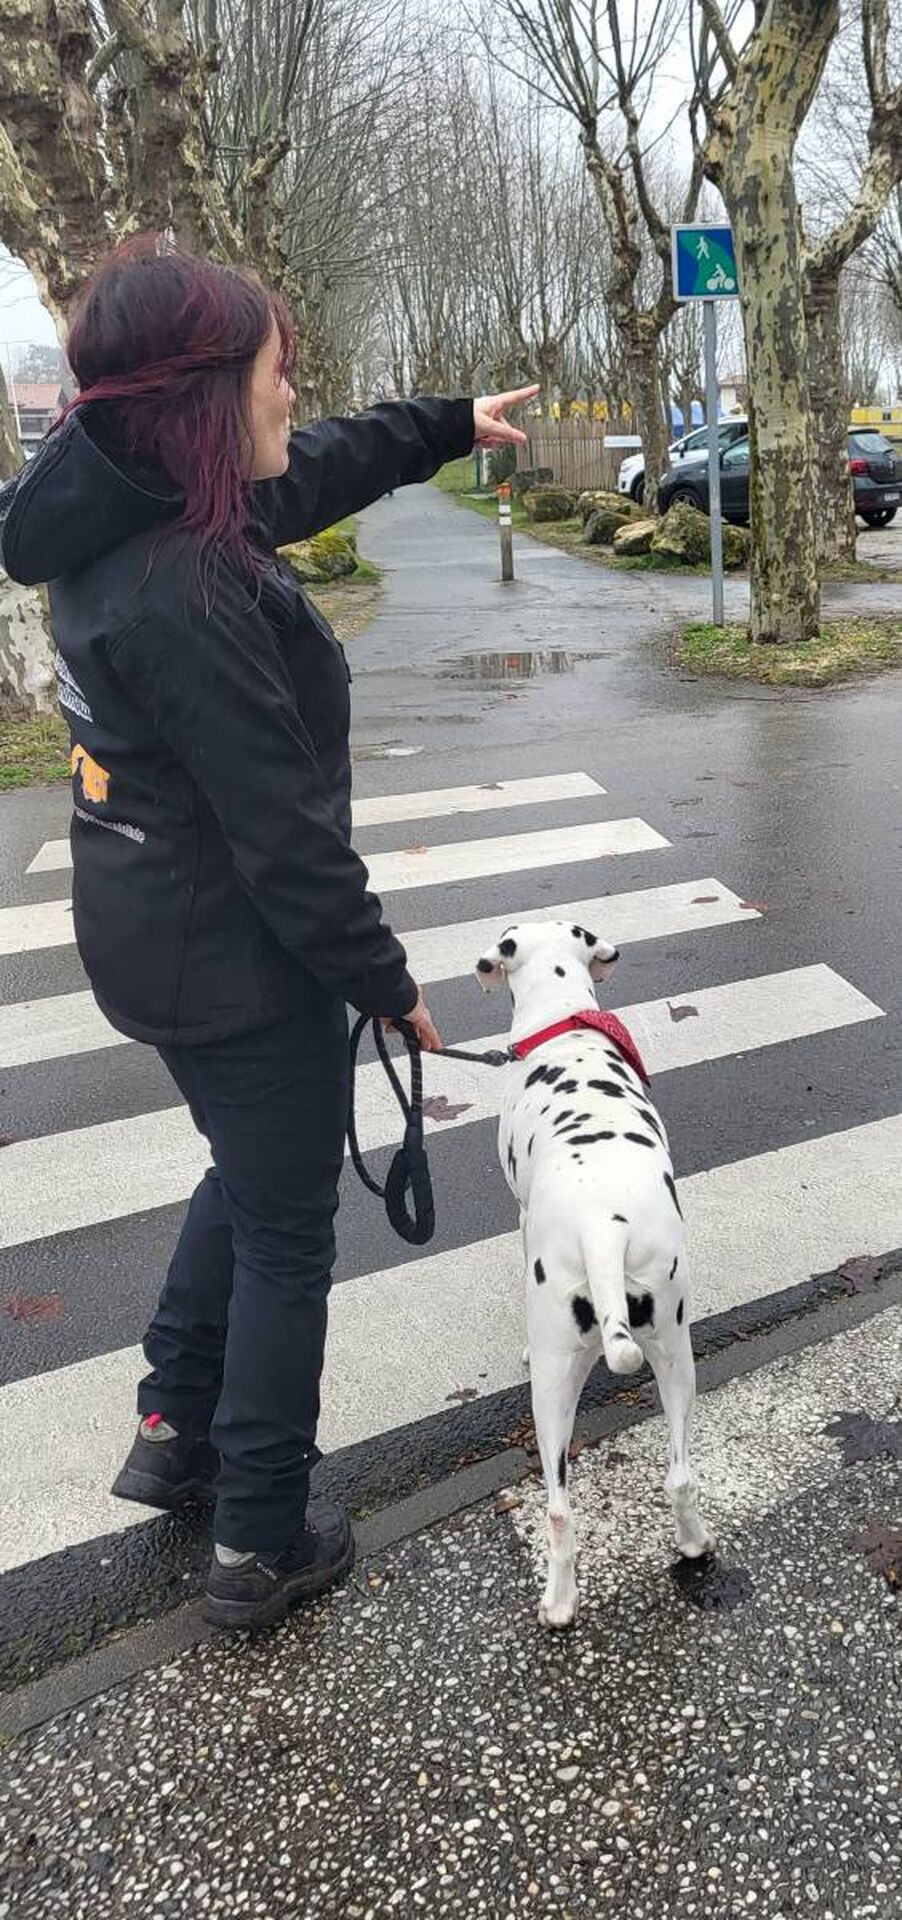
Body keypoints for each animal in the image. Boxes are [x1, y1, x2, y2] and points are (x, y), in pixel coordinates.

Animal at [476, 920, 714, 1628]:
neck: (564, 1021)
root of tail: (602, 1226)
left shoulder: (523, 1214)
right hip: (675, 1353)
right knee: (680, 1474)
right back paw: (693, 1543)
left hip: (552, 1387)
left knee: (557, 1509)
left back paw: (559, 1603)